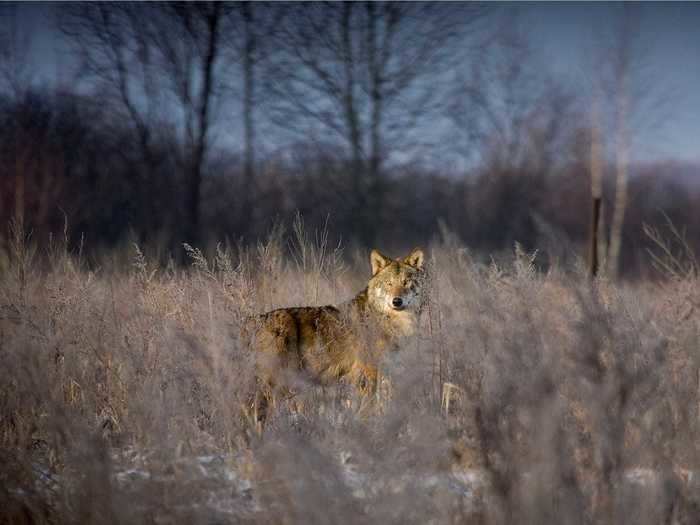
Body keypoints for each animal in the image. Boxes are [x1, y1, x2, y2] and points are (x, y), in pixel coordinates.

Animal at [249, 248, 430, 424]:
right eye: (389, 283)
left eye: (406, 282)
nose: (396, 301)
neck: (389, 321)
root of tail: (256, 319)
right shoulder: (368, 372)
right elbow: (368, 407)